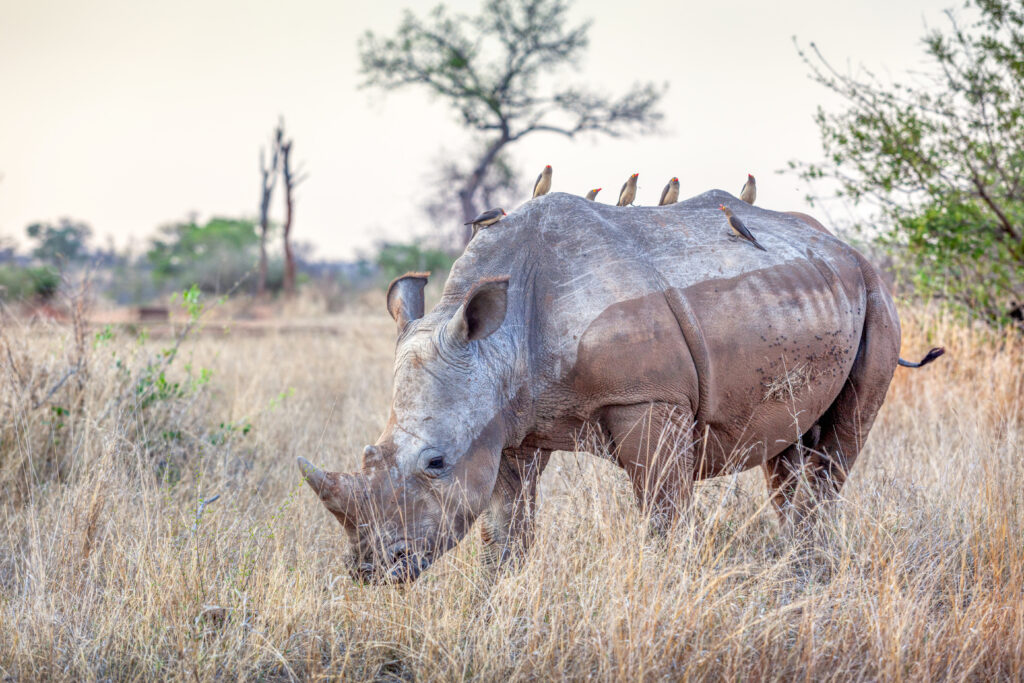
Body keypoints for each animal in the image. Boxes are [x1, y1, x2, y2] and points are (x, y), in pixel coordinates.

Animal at [298, 190, 942, 583]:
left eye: (435, 463)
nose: (372, 570)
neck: (500, 341)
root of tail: (842, 245)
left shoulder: (649, 398)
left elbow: (661, 509)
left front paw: (663, 582)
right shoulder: (506, 422)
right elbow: (506, 525)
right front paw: (496, 593)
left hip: (877, 297)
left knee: (838, 447)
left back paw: (807, 570)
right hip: (810, 295)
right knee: (788, 451)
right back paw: (794, 566)